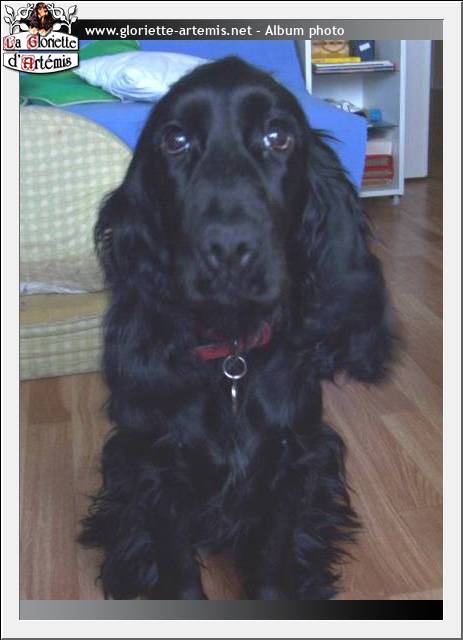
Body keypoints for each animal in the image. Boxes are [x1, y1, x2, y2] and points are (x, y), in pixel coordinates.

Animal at [80, 56, 394, 600]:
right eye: (175, 140)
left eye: (278, 136)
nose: (229, 248)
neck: (231, 357)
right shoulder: (157, 469)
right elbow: (177, 569)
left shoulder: (293, 461)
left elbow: (273, 557)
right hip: (122, 458)